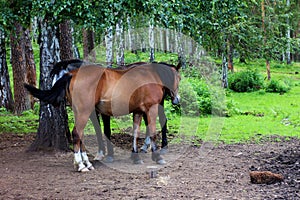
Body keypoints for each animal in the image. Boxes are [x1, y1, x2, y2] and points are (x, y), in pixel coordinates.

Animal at [25, 62, 180, 172]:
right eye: (179, 78)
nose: (176, 99)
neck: (151, 76)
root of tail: (73, 74)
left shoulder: (137, 111)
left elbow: (135, 133)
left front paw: (135, 157)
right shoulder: (151, 108)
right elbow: (152, 132)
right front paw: (157, 157)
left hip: (80, 112)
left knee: (80, 135)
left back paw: (87, 163)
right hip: (84, 112)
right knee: (76, 133)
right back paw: (81, 165)